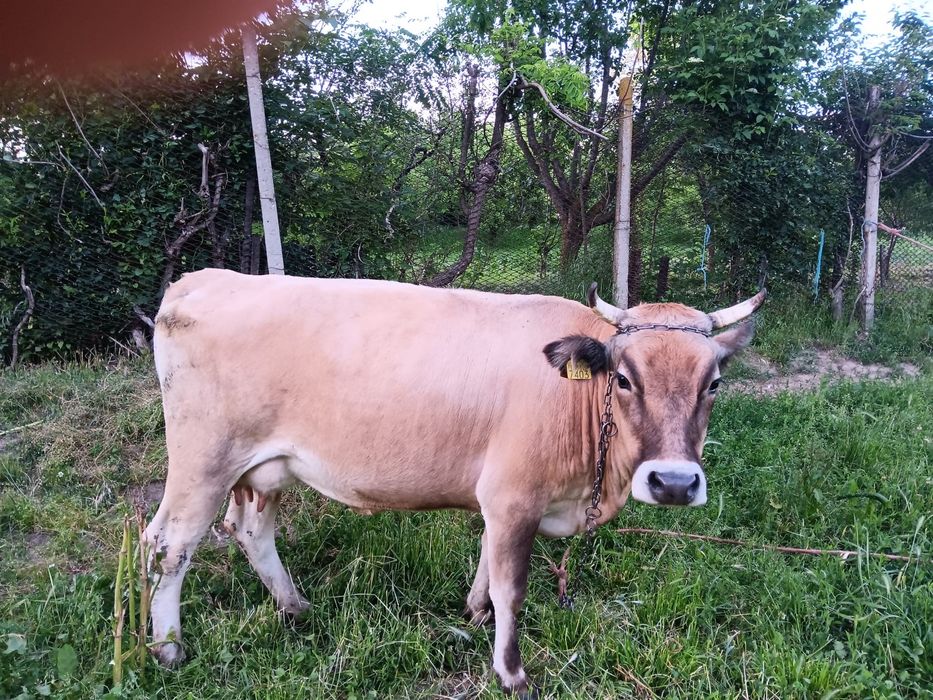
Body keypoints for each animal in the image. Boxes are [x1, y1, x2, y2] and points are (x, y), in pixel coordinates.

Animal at [144, 269, 764, 694]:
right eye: (627, 378)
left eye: (713, 382)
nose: (674, 483)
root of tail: (203, 280)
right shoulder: (514, 496)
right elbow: (512, 587)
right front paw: (511, 673)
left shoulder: (502, 499)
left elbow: (487, 559)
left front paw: (473, 612)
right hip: (203, 460)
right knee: (168, 545)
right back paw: (168, 649)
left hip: (261, 469)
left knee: (250, 531)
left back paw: (294, 606)